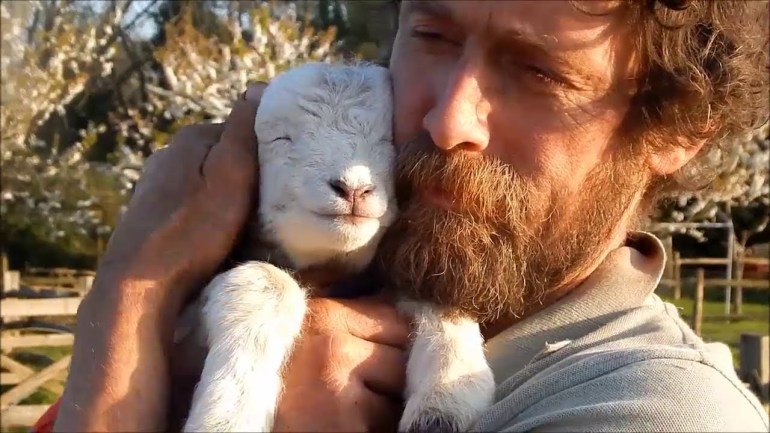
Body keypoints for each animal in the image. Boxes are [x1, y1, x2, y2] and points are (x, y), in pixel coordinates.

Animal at [178, 61, 496, 433]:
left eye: (387, 139)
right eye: (280, 139)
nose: (353, 188)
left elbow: (434, 296)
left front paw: (447, 396)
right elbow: (266, 284)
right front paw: (227, 413)